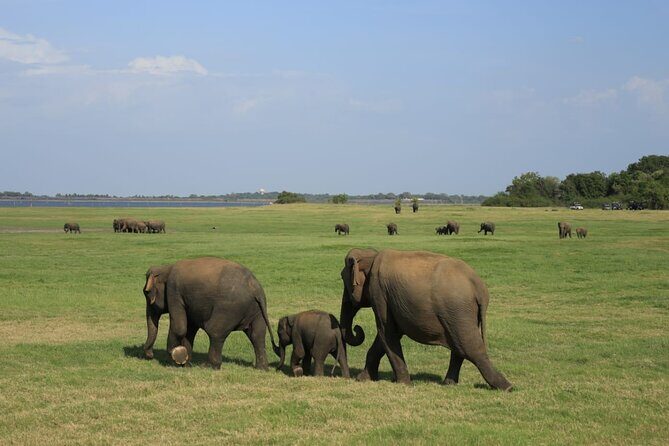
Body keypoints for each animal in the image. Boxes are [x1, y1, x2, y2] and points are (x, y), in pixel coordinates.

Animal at [142, 256, 278, 370]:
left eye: (146, 293)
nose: (150, 355)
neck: (166, 268)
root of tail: (255, 288)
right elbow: (190, 329)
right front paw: (186, 364)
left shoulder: (173, 292)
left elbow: (179, 328)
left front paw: (175, 360)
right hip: (257, 310)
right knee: (257, 335)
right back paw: (261, 368)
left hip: (229, 308)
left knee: (215, 331)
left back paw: (208, 366)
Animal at [339, 248, 513, 390]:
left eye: (342, 278)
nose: (357, 328)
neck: (372, 256)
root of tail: (479, 288)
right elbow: (390, 334)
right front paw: (363, 379)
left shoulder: (379, 292)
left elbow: (386, 332)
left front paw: (404, 384)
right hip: (461, 314)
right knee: (459, 346)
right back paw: (449, 384)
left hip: (458, 310)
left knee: (470, 347)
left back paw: (506, 387)